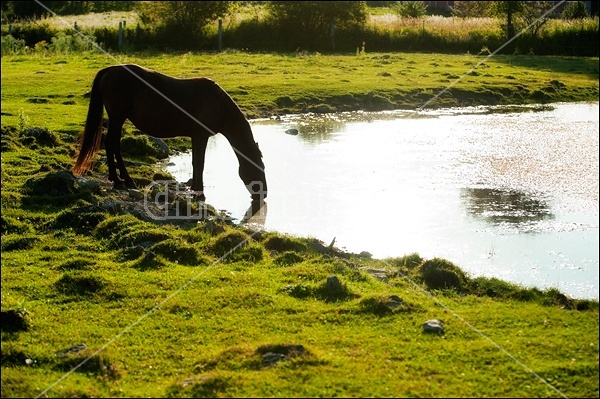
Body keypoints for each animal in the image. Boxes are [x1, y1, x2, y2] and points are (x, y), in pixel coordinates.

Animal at [71, 66, 268, 205]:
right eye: (259, 167)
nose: (264, 193)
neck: (218, 104)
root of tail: (110, 70)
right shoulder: (201, 136)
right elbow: (200, 162)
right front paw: (200, 193)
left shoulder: (196, 137)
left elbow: (196, 162)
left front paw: (194, 189)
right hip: (118, 117)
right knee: (111, 143)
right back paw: (120, 180)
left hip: (117, 118)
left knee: (113, 144)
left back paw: (124, 179)